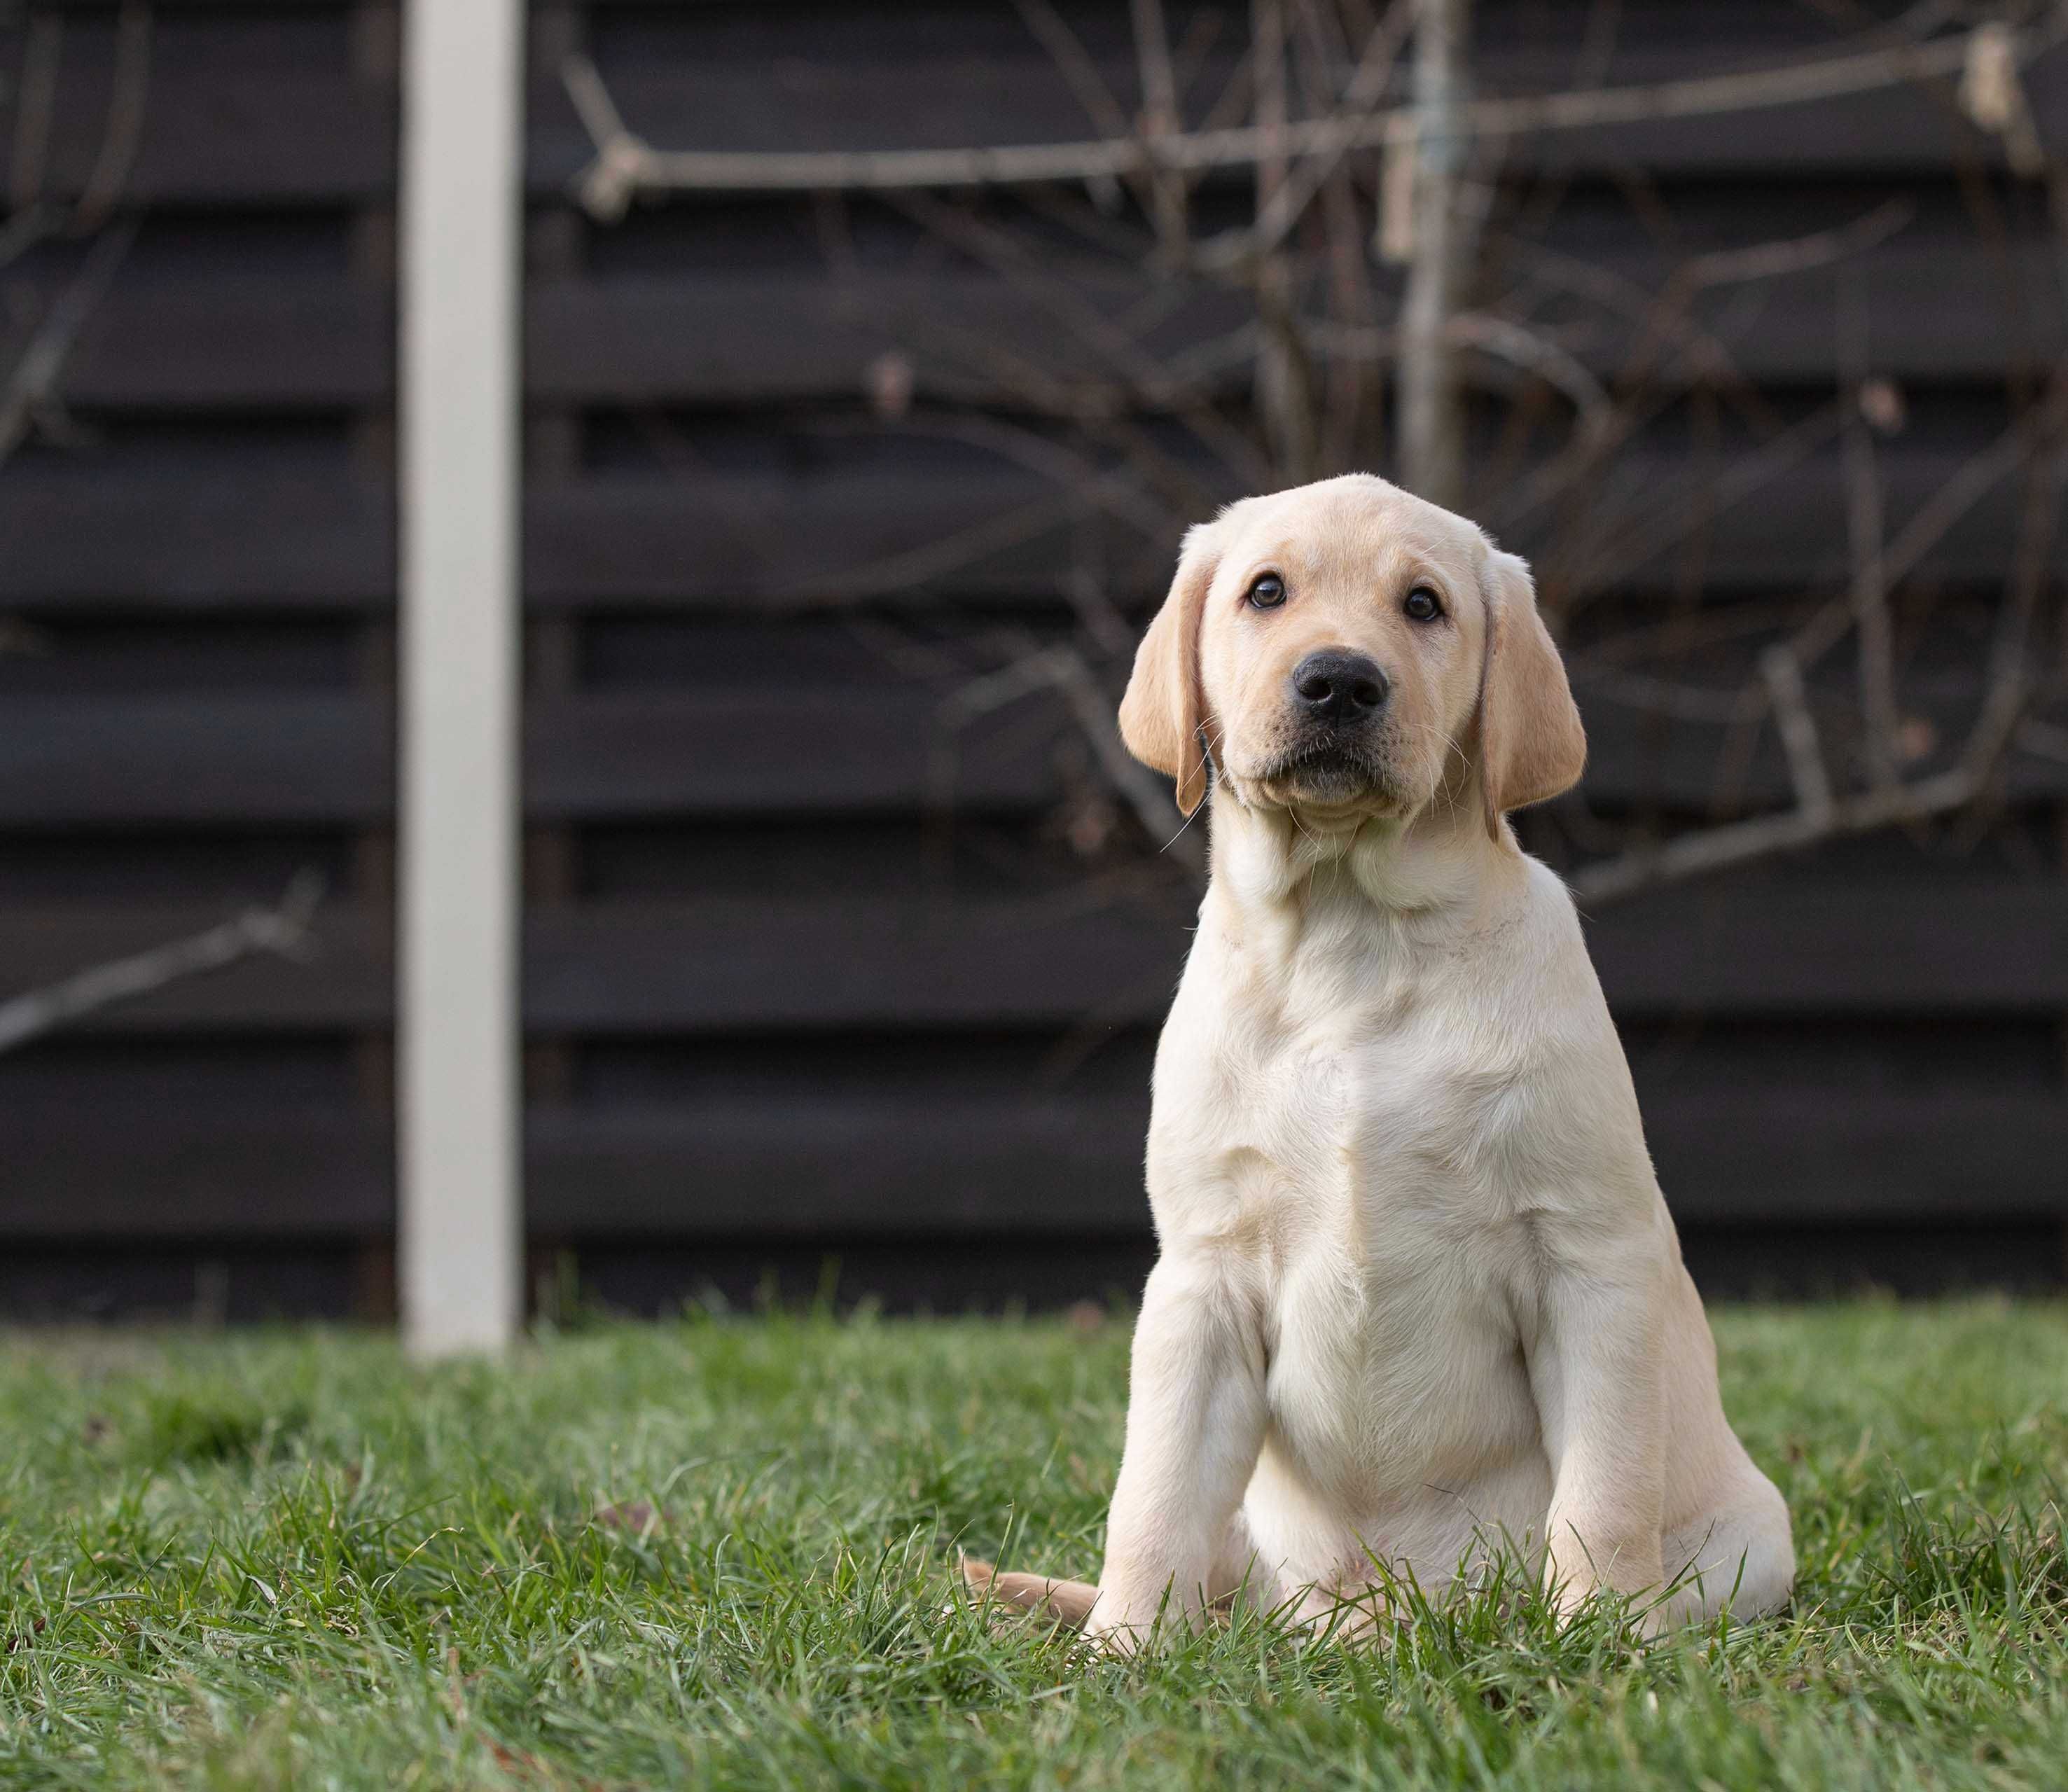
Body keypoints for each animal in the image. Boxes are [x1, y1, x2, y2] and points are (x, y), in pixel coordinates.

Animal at [968, 477, 1795, 1653]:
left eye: (1423, 605)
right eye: (1266, 591)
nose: (1340, 679)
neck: (1352, 936)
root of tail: (1378, 1623)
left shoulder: (1590, 1261)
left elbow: (1602, 1489)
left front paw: (1597, 1635)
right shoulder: (1202, 1277)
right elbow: (1154, 1493)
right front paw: (1126, 1648)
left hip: (1751, 1540)